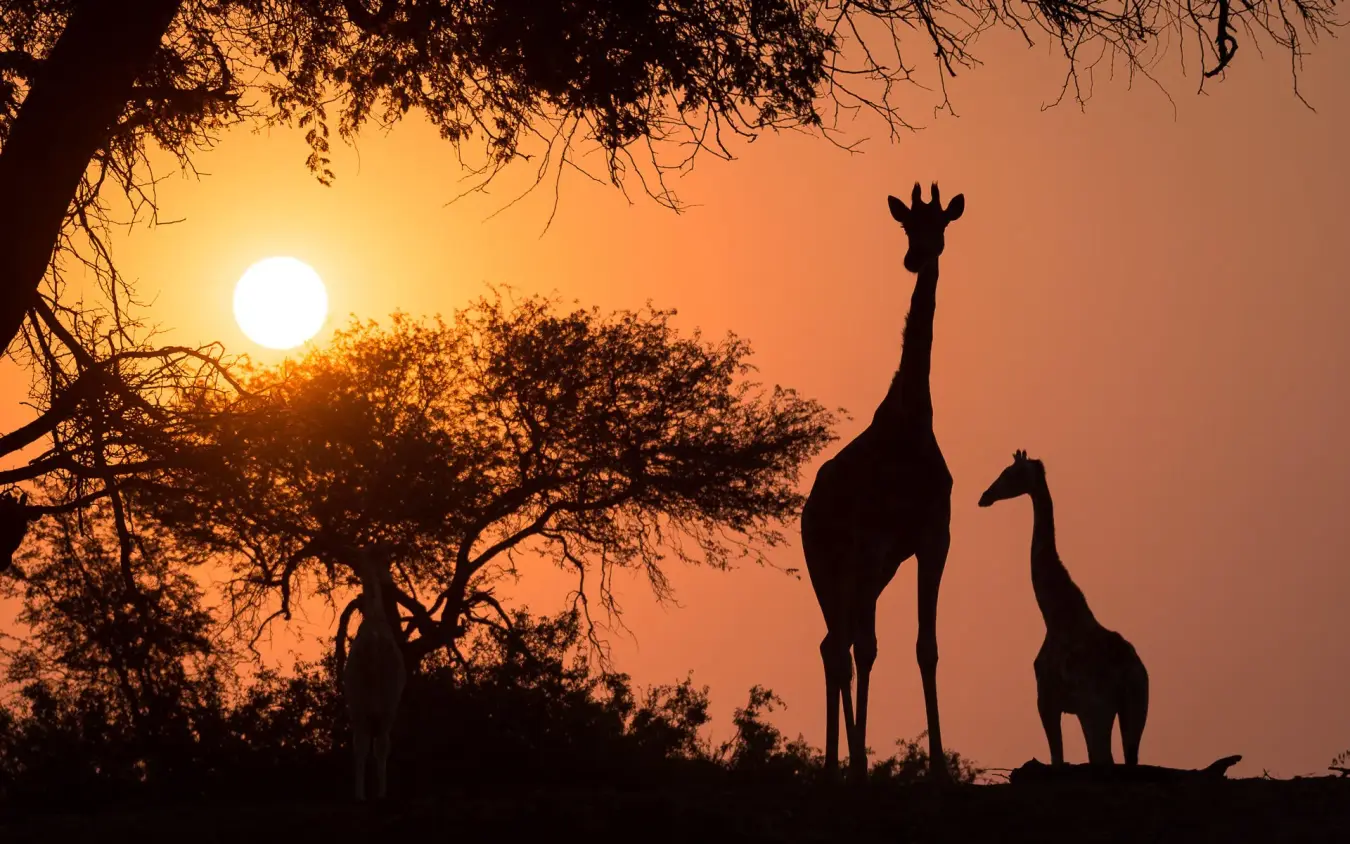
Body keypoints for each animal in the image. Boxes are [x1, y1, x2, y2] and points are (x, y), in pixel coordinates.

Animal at [342, 545, 407, 801]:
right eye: (385, 562)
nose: (390, 580)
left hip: (361, 703)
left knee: (364, 744)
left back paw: (362, 795)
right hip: (386, 703)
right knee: (379, 744)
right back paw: (378, 794)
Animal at [801, 182, 965, 783]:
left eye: (940, 224)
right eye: (905, 226)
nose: (916, 257)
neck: (913, 421)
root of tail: (807, 510)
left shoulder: (932, 538)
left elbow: (926, 647)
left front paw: (938, 765)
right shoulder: (886, 543)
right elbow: (888, 647)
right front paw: (878, 765)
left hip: (865, 571)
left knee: (839, 642)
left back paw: (842, 763)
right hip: (832, 564)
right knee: (841, 645)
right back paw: (840, 766)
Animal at [978, 450, 1149, 766]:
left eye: (1010, 472)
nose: (985, 496)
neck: (1055, 616)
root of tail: (1130, 669)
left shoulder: (1047, 700)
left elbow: (1057, 757)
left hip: (1097, 710)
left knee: (1103, 758)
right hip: (1136, 708)